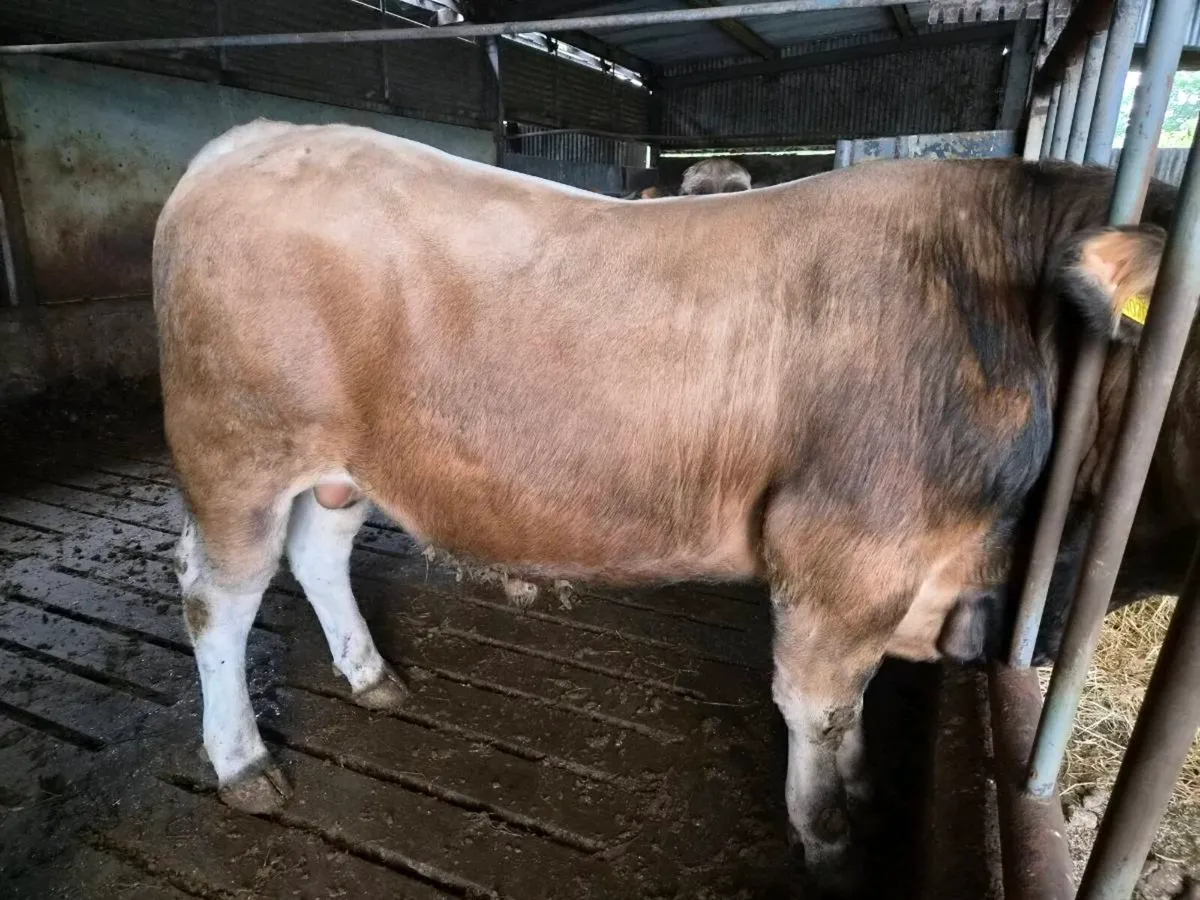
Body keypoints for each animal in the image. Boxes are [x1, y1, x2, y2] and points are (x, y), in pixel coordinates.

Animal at [152, 120, 1168, 894]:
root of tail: (248, 140)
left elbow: (858, 697)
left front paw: (862, 790)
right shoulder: (846, 547)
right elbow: (819, 705)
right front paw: (829, 838)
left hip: (345, 467)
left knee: (318, 553)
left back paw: (370, 675)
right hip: (235, 450)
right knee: (218, 597)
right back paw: (243, 761)